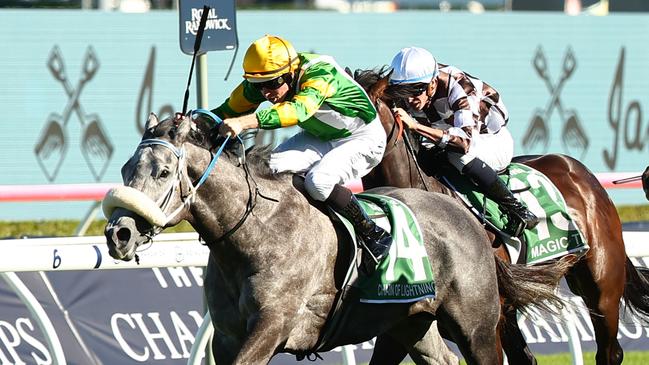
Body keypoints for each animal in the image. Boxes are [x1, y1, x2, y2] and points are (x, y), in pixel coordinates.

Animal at [102, 114, 568, 364]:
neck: (254, 236)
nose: (118, 233)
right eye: (126, 168)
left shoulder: (272, 327)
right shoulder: (227, 336)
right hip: (408, 324)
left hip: (477, 326)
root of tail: (465, 216)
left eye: (163, 171)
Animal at [356, 69, 648, 364]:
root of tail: (583, 174)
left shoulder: (483, 324)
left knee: (609, 351)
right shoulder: (403, 322)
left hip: (602, 286)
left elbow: (463, 136)